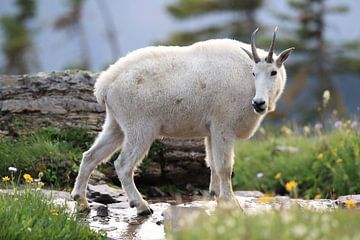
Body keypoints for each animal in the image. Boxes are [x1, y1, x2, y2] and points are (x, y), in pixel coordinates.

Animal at [71, 27, 294, 216]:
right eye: (254, 73)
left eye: (273, 72)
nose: (259, 103)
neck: (247, 81)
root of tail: (105, 85)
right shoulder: (224, 126)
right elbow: (225, 166)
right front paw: (231, 202)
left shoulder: (211, 130)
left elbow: (212, 163)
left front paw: (216, 195)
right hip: (140, 128)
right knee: (123, 165)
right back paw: (142, 206)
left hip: (116, 124)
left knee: (90, 156)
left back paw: (81, 201)